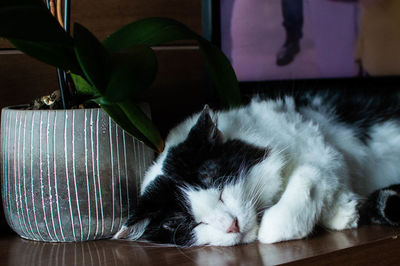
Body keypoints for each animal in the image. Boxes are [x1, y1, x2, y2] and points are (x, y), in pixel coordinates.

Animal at [111, 90, 400, 246]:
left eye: (215, 180)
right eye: (179, 223)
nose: (232, 226)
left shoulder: (324, 158)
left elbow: (275, 226)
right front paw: (345, 213)